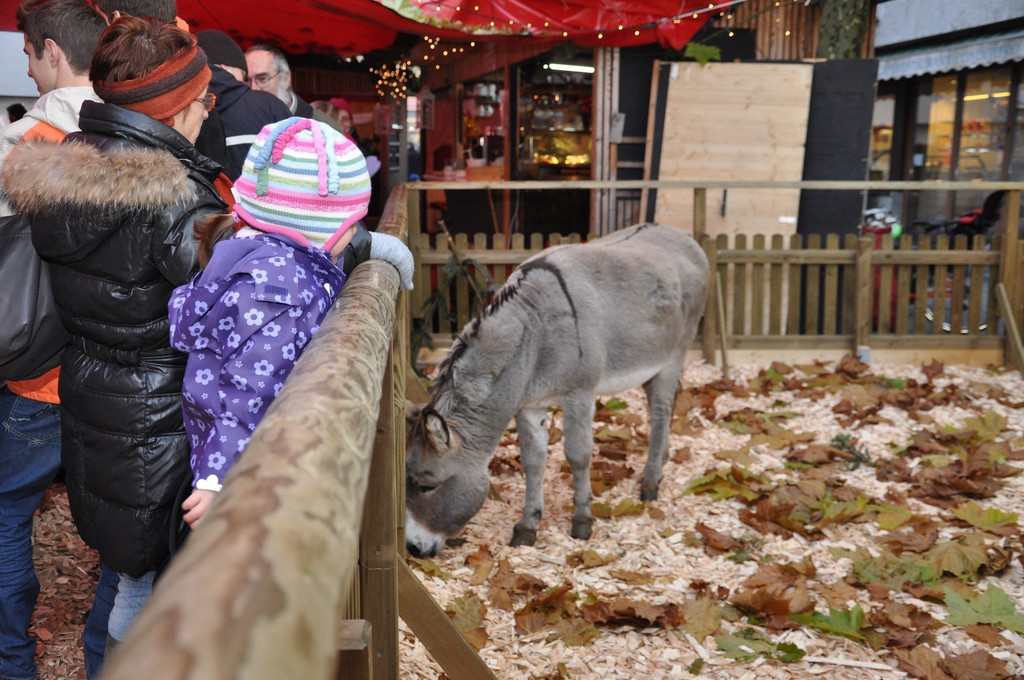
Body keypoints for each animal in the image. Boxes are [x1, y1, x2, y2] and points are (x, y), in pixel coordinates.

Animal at [405, 223, 710, 558]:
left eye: (427, 485)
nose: (413, 549)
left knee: (660, 412)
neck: (535, 335)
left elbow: (578, 455)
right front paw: (528, 525)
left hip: (675, 355)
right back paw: (663, 460)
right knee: (662, 405)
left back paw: (650, 483)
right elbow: (533, 461)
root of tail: (681, 235)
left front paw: (582, 520)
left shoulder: (580, 395)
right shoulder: (529, 405)